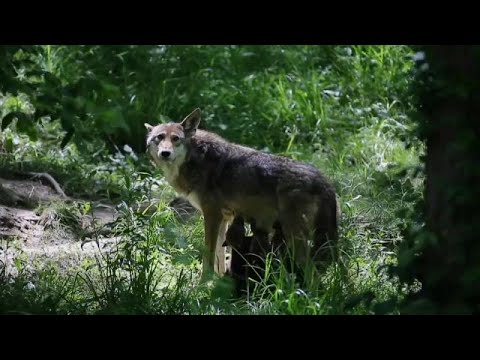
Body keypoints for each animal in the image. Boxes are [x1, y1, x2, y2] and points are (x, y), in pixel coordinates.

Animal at [144, 107, 340, 282]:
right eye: (159, 138)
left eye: (176, 139)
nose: (165, 153)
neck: (197, 159)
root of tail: (323, 179)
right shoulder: (224, 218)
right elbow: (220, 256)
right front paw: (218, 282)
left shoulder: (212, 215)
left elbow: (208, 256)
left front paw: (202, 285)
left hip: (295, 237)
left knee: (313, 275)